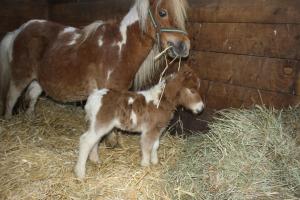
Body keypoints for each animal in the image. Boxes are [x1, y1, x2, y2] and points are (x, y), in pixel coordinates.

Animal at [0, 0, 190, 119]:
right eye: (162, 12)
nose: (184, 46)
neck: (120, 48)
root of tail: (18, 31)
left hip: (38, 80)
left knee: (31, 98)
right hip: (20, 78)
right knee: (10, 100)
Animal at [74, 65, 204, 178]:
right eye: (192, 90)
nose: (201, 108)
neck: (160, 101)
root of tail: (92, 97)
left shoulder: (157, 129)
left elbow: (155, 145)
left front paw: (155, 161)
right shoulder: (150, 130)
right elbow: (147, 146)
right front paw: (145, 165)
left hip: (98, 124)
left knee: (95, 141)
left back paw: (95, 160)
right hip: (102, 123)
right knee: (86, 140)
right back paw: (80, 173)